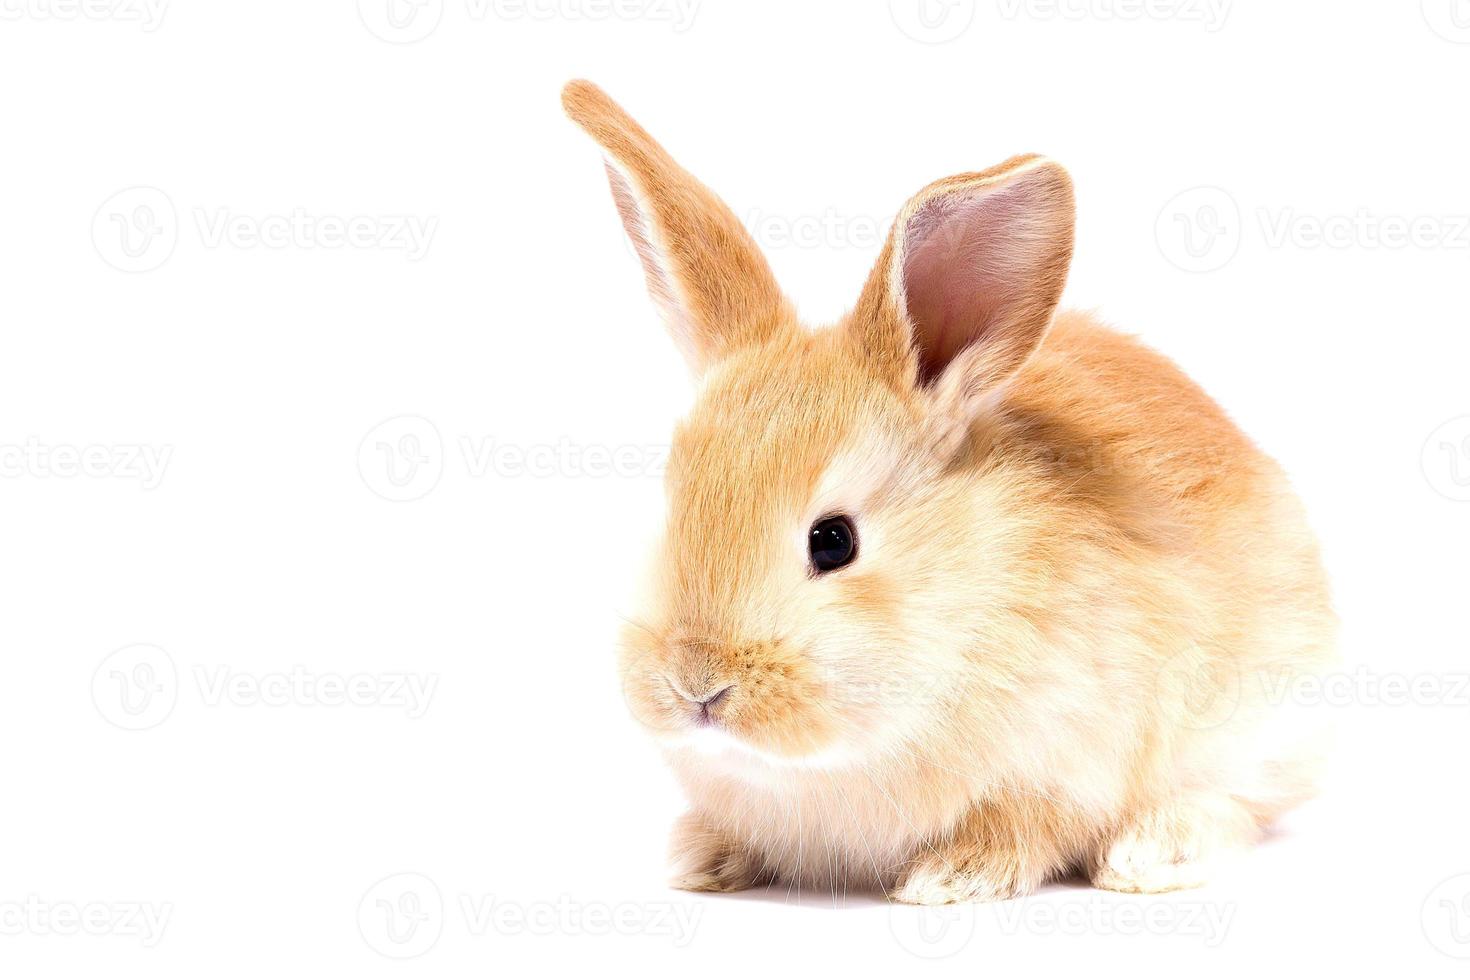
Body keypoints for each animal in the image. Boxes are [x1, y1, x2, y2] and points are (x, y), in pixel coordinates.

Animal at [558, 78, 1334, 905]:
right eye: (672, 508)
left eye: (833, 540)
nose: (697, 686)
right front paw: (698, 860)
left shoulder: (1059, 763)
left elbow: (1025, 825)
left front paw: (950, 878)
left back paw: (1149, 855)